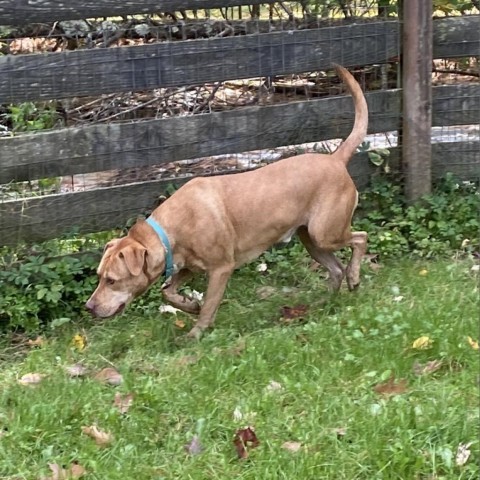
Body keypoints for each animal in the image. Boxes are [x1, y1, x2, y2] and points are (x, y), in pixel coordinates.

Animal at [86, 65, 370, 340]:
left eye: (112, 280)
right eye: (99, 277)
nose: (89, 307)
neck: (169, 232)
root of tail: (335, 159)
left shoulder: (220, 269)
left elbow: (209, 305)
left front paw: (195, 334)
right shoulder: (189, 267)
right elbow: (168, 291)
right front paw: (189, 304)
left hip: (325, 233)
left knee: (361, 238)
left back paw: (354, 278)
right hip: (310, 239)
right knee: (336, 268)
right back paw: (324, 303)